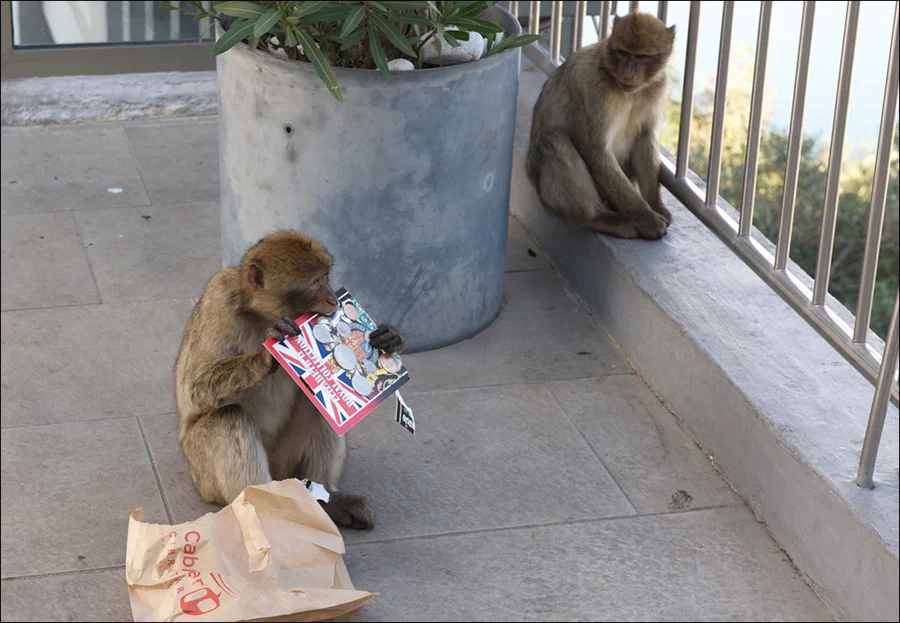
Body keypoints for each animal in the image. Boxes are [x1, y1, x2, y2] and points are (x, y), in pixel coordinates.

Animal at [173, 230, 404, 532]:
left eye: (326, 278)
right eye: (315, 283)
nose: (333, 299)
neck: (263, 313)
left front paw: (389, 338)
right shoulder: (219, 301)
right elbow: (195, 389)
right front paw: (268, 354)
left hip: (287, 464)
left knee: (321, 408)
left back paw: (325, 500)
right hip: (204, 476)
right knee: (226, 418)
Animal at [528, 12, 676, 241]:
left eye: (641, 56)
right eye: (623, 53)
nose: (628, 74)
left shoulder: (658, 86)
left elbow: (645, 139)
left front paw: (655, 204)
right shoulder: (594, 90)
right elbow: (595, 151)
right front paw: (646, 218)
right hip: (550, 195)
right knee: (552, 139)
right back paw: (598, 217)